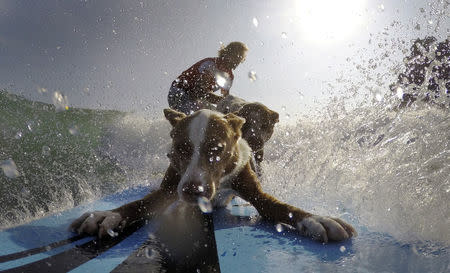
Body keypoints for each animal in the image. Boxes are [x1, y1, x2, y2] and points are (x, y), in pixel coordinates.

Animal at [69, 108, 356, 242]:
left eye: (216, 149)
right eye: (180, 148)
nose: (192, 191)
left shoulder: (254, 190)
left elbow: (280, 207)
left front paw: (316, 219)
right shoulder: (168, 188)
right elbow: (139, 203)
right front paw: (107, 214)